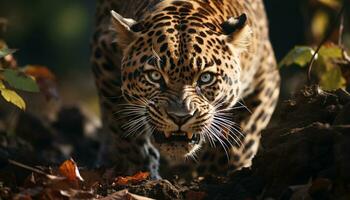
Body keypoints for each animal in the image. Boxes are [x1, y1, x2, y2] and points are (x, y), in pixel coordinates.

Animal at [91, 0, 280, 178]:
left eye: (205, 78)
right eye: (155, 76)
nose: (180, 117)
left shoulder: (265, 75)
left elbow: (240, 137)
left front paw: (216, 173)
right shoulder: (104, 57)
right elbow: (125, 127)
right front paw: (142, 171)